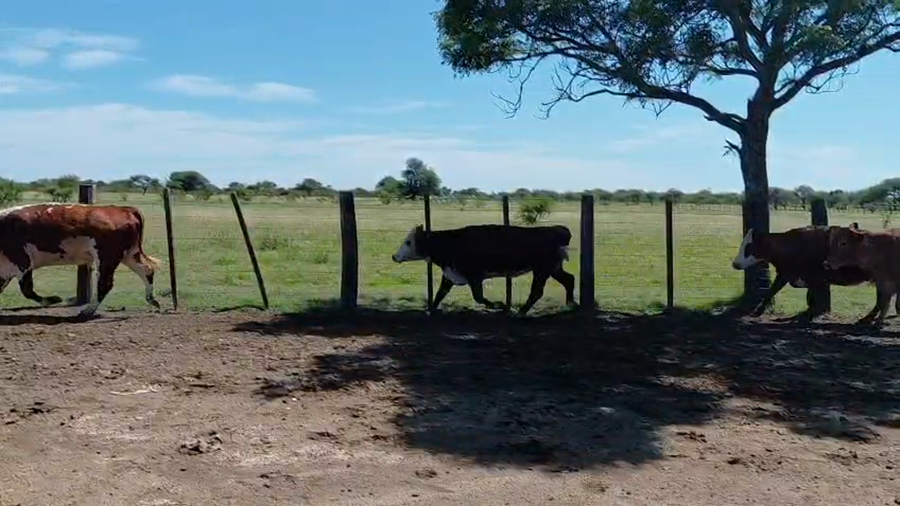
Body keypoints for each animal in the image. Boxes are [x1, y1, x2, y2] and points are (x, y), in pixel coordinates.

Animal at [0, 203, 162, 318]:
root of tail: (124, 209)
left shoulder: (22, 261)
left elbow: (27, 290)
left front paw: (54, 300)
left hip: (107, 257)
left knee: (105, 284)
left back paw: (87, 311)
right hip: (130, 254)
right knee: (147, 269)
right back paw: (152, 299)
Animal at [391, 224, 575, 315]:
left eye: (408, 241)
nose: (394, 256)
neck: (451, 243)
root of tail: (558, 229)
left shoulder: (474, 276)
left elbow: (478, 297)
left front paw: (501, 305)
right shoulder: (450, 275)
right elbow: (439, 294)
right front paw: (430, 311)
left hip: (542, 270)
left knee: (537, 291)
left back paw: (520, 312)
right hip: (553, 268)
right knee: (569, 279)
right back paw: (571, 304)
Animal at [730, 223, 900, 319]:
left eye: (749, 247)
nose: (735, 263)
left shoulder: (805, 277)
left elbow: (775, 291)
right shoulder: (788, 274)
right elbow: (773, 291)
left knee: (882, 298)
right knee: (882, 298)